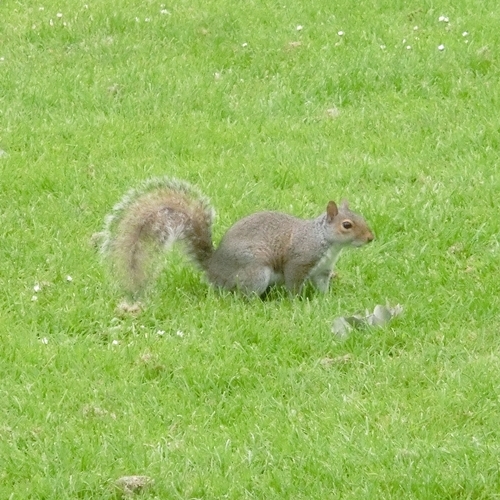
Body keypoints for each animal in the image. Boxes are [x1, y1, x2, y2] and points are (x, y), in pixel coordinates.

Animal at [99, 178, 374, 298]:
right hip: (255, 271)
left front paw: (325, 301)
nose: (371, 238)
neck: (326, 241)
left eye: (361, 216)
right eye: (347, 225)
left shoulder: (322, 270)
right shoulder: (300, 260)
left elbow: (322, 285)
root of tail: (215, 268)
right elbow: (294, 282)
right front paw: (298, 302)